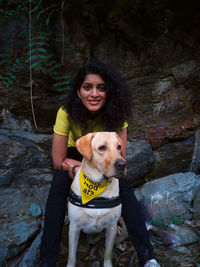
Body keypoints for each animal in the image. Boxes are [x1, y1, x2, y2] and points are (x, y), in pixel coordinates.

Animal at [67, 132, 126, 267]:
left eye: (119, 147)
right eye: (102, 148)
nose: (122, 164)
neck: (98, 189)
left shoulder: (110, 227)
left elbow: (108, 252)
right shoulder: (74, 228)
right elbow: (72, 256)